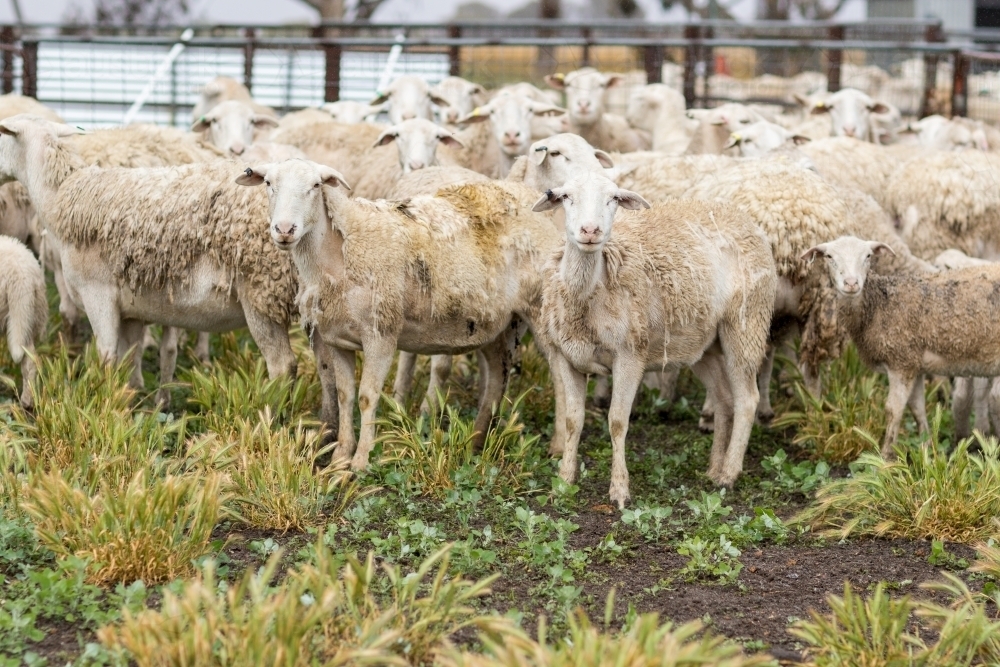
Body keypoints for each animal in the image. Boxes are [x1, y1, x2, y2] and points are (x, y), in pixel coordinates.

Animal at [234, 158, 564, 470]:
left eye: (316, 186)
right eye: (268, 183)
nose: (284, 230)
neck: (342, 249)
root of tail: (527, 193)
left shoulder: (381, 334)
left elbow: (367, 396)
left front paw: (361, 461)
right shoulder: (336, 338)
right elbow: (345, 396)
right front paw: (340, 458)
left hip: (540, 308)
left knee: (560, 377)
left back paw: (558, 447)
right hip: (495, 323)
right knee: (498, 375)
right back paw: (477, 440)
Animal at [532, 172, 772, 506]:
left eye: (613, 199)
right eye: (566, 197)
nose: (590, 231)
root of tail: (744, 218)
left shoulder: (630, 354)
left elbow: (617, 422)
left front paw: (620, 490)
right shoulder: (566, 357)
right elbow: (573, 420)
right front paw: (564, 481)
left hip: (746, 322)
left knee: (746, 399)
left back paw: (729, 473)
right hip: (701, 342)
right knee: (724, 399)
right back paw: (713, 469)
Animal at [804, 232, 1000, 456]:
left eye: (868, 256)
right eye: (829, 256)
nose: (851, 283)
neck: (879, 304)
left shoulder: (900, 362)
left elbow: (893, 411)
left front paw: (885, 456)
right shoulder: (914, 365)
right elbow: (917, 409)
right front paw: (926, 448)